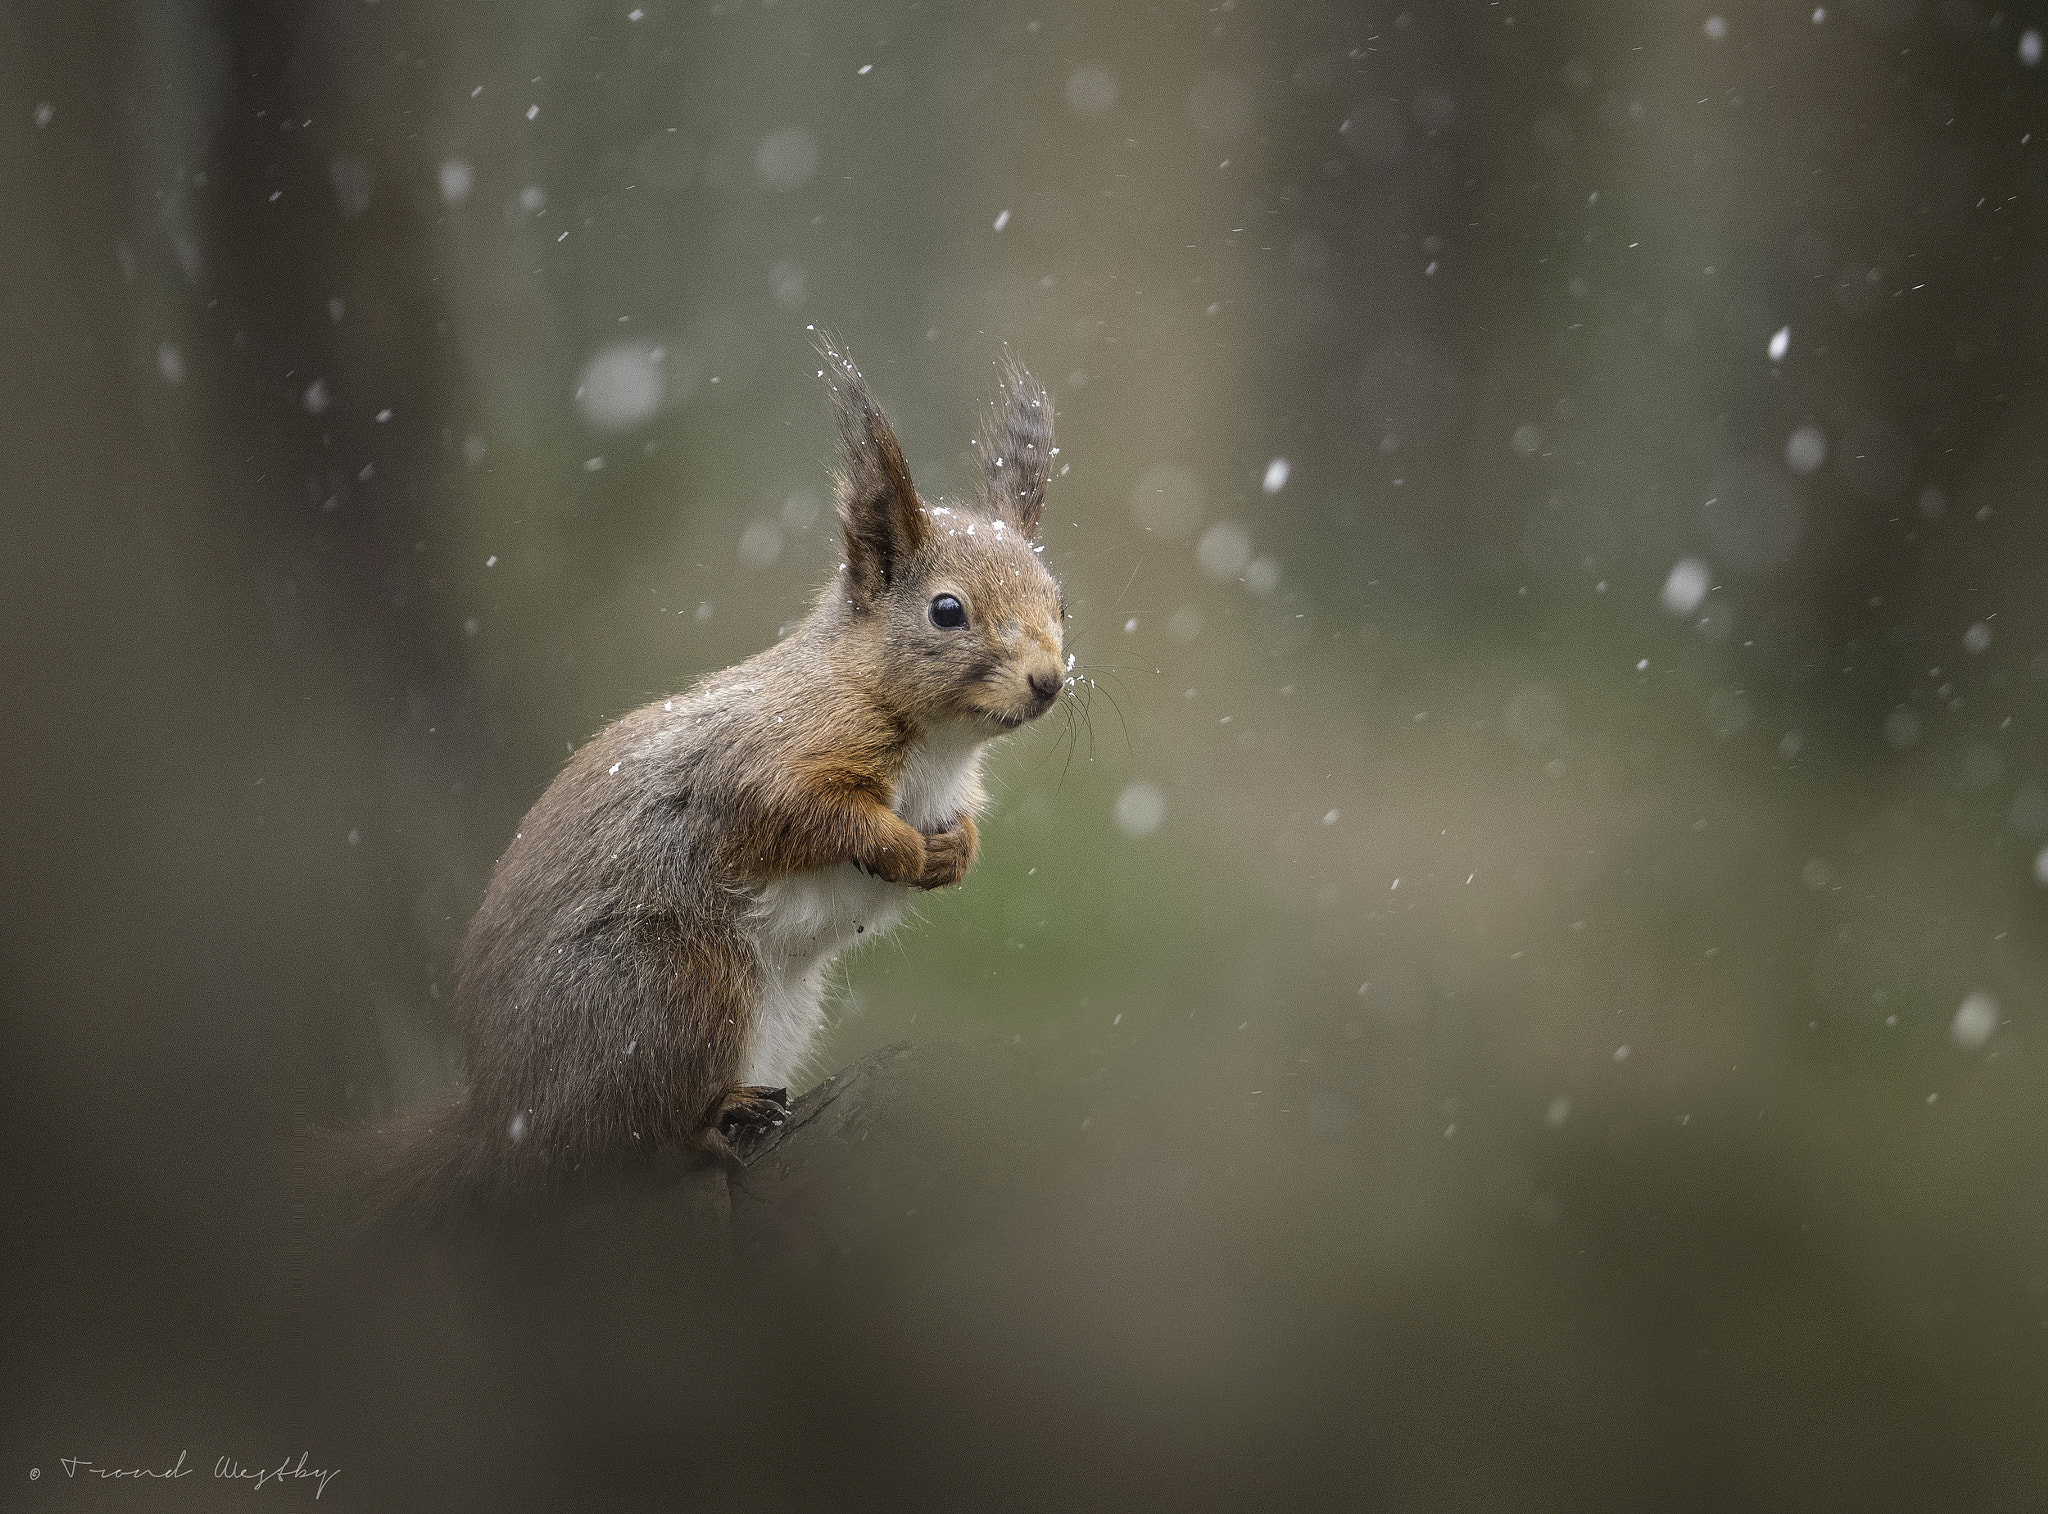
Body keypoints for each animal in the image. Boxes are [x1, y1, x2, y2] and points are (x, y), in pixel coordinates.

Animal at [327, 346, 1064, 1221]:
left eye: (1059, 599)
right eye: (947, 611)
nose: (1051, 682)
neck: (937, 743)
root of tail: (497, 1118)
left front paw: (954, 854)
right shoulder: (767, 757)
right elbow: (804, 814)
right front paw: (898, 847)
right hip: (671, 988)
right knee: (626, 1140)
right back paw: (711, 1123)